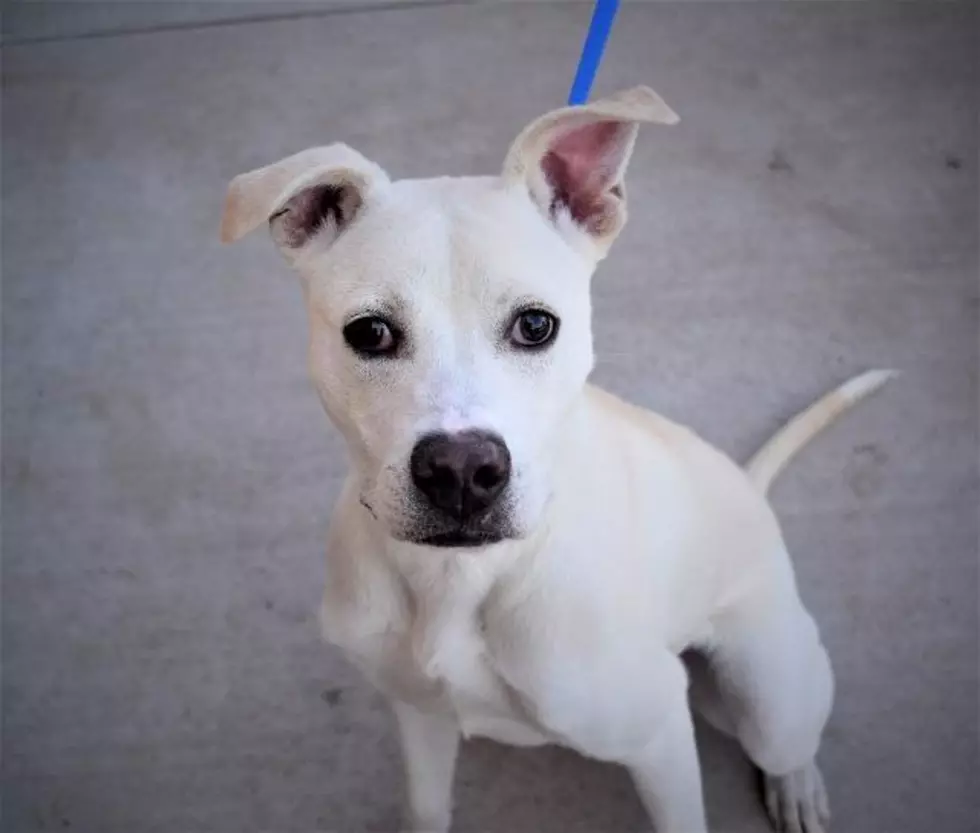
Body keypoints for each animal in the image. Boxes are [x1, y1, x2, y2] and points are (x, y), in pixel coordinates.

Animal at [222, 86, 896, 832]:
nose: (462, 472)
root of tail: (749, 490)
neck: (463, 578)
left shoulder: (659, 732)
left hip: (764, 691)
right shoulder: (419, 715)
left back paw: (796, 784)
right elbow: (426, 808)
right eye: (369, 332)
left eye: (535, 325)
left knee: (787, 738)